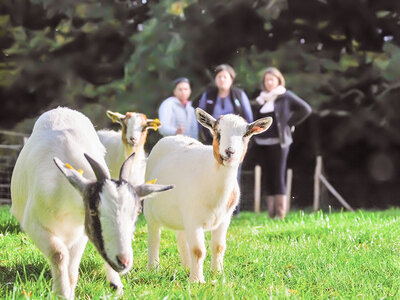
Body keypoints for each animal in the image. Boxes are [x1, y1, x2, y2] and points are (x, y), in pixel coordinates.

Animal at [10, 107, 173, 298]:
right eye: (93, 211)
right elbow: (59, 254)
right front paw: (61, 293)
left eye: (137, 212)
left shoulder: (81, 231)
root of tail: (62, 109)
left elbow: (72, 272)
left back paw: (115, 284)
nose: (123, 260)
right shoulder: (34, 225)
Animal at [144, 109, 272, 282]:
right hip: (149, 207)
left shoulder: (225, 218)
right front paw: (197, 280)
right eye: (217, 132)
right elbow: (198, 250)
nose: (229, 152)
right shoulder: (193, 218)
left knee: (181, 237)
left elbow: (219, 246)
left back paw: (186, 268)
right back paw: (153, 268)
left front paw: (217, 274)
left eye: (246, 134)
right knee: (154, 236)